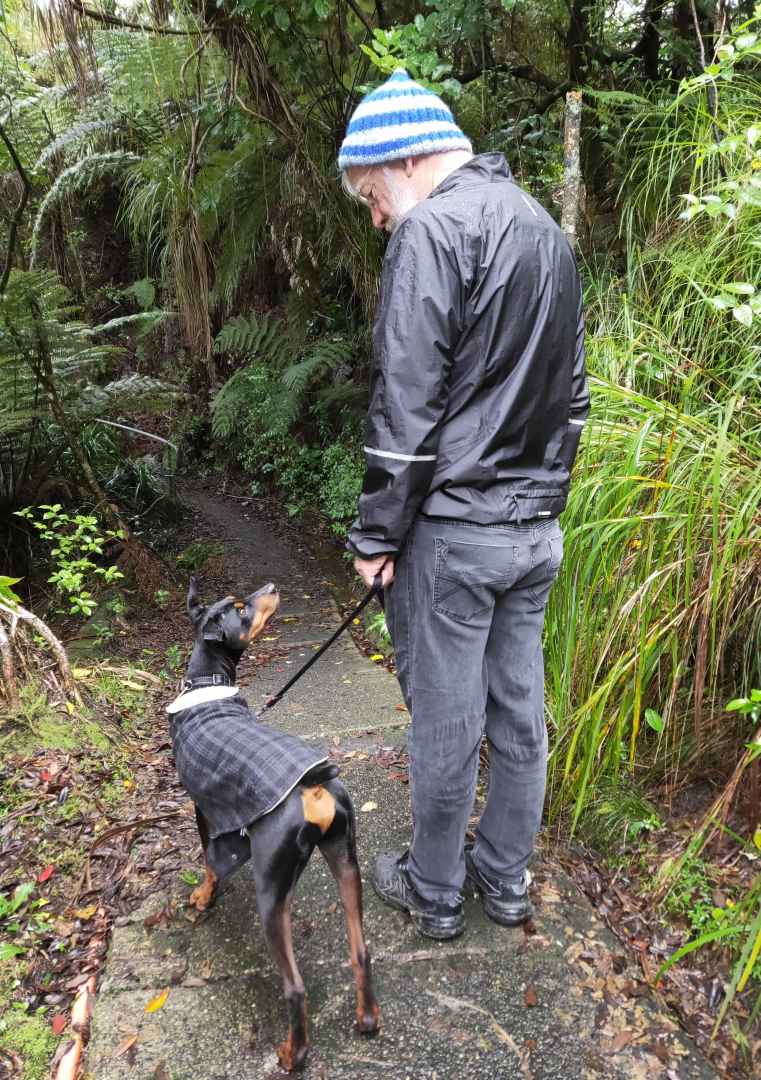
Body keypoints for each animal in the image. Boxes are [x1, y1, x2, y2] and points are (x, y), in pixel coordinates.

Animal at [166, 578, 379, 1067]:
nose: (270, 586)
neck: (207, 684)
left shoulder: (204, 808)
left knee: (295, 988)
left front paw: (203, 895)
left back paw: (291, 1052)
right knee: (360, 950)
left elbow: (209, 859)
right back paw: (367, 1018)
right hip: (346, 857)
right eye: (240, 608)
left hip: (272, 893)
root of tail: (312, 788)